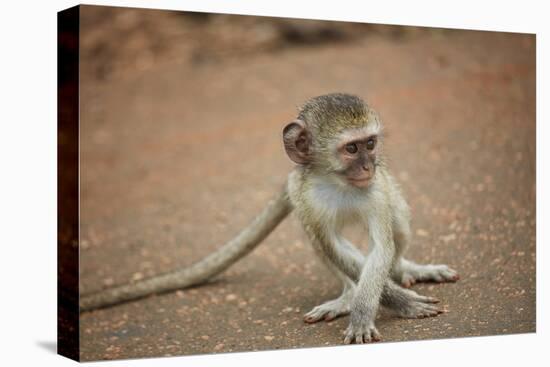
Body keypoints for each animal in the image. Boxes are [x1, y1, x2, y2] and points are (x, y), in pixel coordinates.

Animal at [81, 92, 462, 344]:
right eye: (352, 149)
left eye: (370, 143)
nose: (370, 166)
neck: (335, 182)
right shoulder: (303, 194)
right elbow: (332, 245)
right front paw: (383, 303)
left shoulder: (375, 193)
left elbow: (381, 247)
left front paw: (374, 307)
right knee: (320, 241)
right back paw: (348, 295)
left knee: (397, 228)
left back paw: (403, 270)